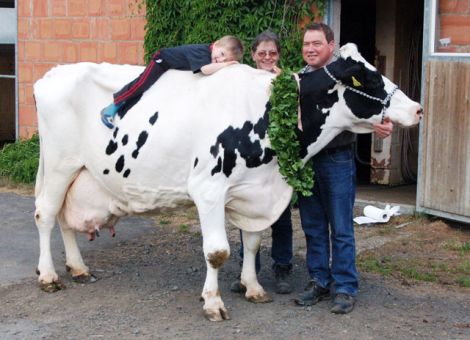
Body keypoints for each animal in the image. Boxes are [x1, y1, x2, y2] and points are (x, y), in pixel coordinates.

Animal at [34, 43, 422, 322]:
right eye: (369, 80)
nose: (418, 108)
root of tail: (52, 73)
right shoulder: (208, 188)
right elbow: (217, 251)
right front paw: (213, 303)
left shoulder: (255, 192)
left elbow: (251, 243)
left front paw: (252, 287)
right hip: (59, 164)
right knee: (45, 215)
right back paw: (49, 277)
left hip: (78, 173)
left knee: (65, 218)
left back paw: (79, 268)